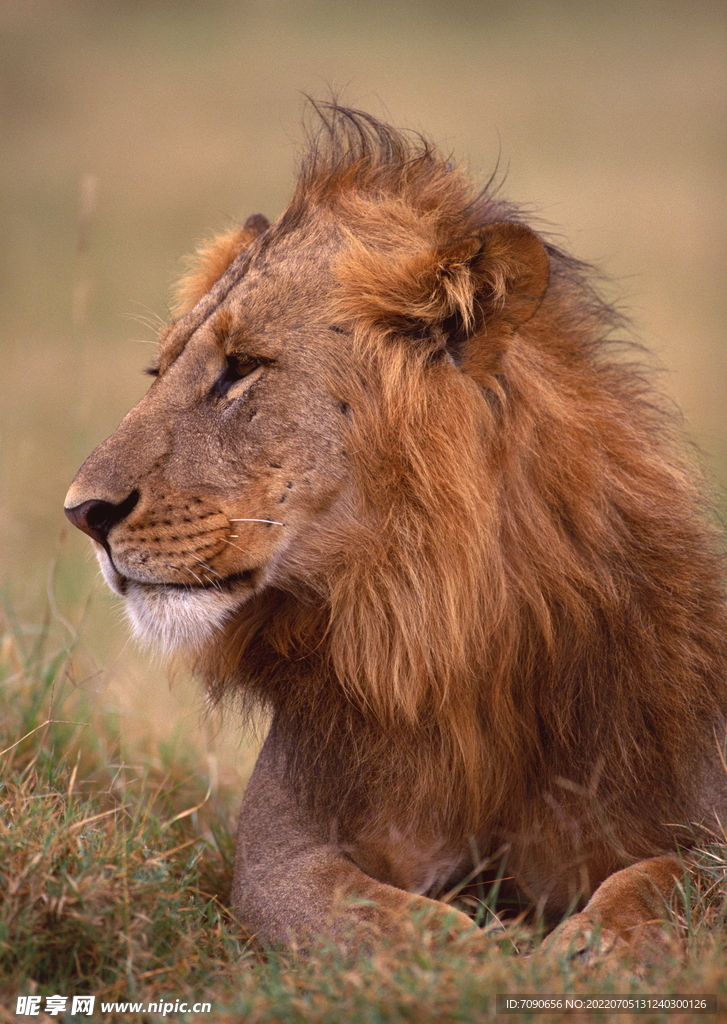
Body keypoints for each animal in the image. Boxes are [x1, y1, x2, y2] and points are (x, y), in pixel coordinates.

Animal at [67, 108, 727, 962]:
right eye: (160, 372)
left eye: (240, 368)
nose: (82, 511)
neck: (439, 628)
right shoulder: (279, 849)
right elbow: (377, 915)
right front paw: (479, 957)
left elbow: (669, 879)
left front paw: (590, 949)